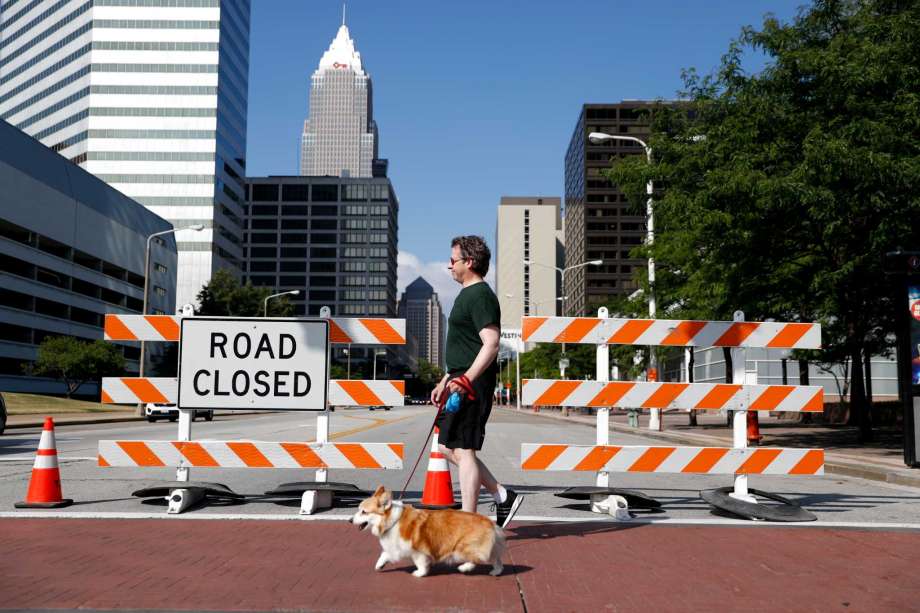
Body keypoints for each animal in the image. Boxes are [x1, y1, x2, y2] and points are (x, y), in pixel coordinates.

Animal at [354, 486, 510, 576]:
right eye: (358, 510)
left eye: (364, 512)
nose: (350, 520)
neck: (393, 521)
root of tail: (491, 523)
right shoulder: (395, 548)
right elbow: (384, 554)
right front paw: (379, 565)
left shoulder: (418, 551)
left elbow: (420, 564)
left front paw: (418, 573)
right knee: (496, 559)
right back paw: (495, 572)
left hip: (462, 547)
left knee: (476, 559)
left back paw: (464, 568)